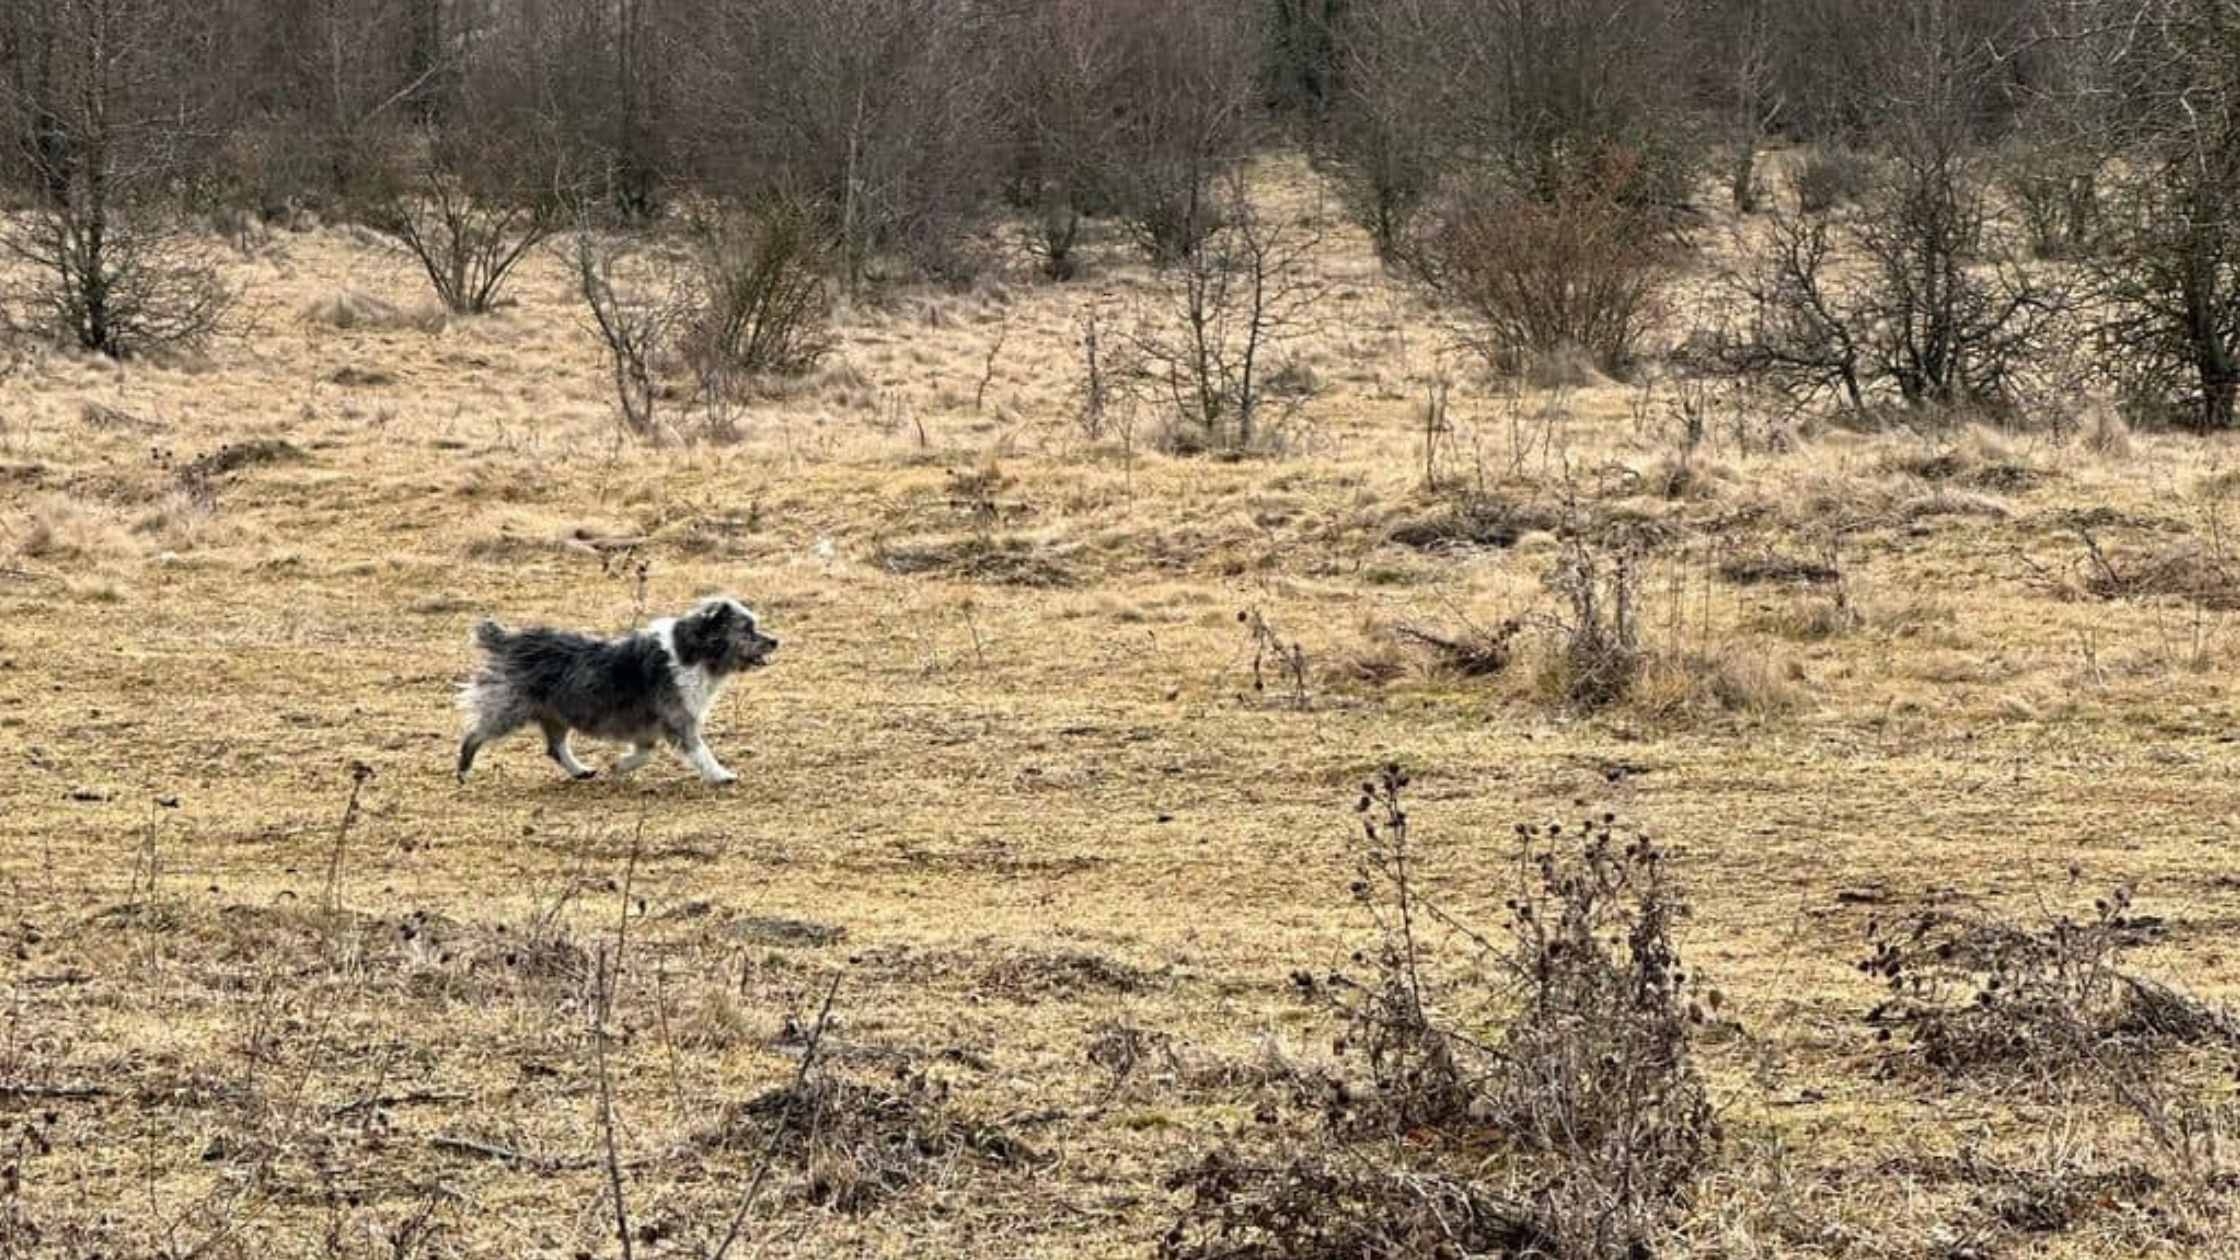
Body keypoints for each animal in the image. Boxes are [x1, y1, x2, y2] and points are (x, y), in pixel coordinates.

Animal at [450, 591, 784, 780]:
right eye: (748, 629)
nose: (775, 641)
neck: (692, 652)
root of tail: (507, 641)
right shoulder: (678, 720)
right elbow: (700, 751)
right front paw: (721, 775)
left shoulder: (649, 726)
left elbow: (645, 752)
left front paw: (621, 766)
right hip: (509, 710)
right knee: (474, 734)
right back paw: (464, 771)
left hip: (556, 714)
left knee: (556, 748)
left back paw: (580, 771)